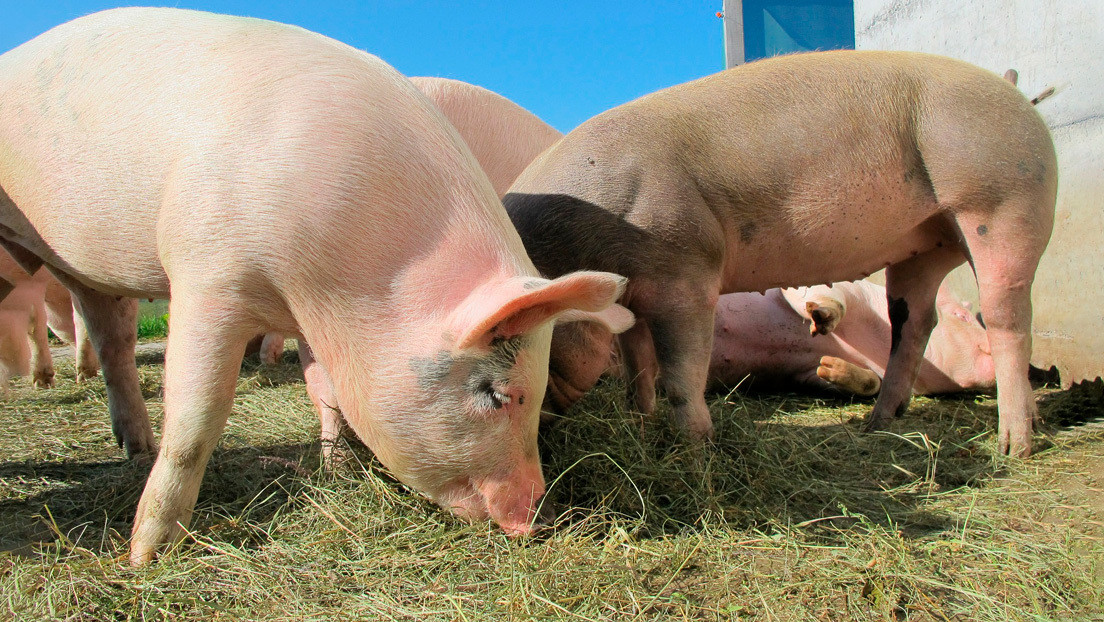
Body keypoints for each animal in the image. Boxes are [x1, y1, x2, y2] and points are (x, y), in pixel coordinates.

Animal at [506, 50, 1057, 457]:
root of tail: (1017, 96)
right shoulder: (636, 295)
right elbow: (639, 367)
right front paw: (640, 426)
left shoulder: (684, 271)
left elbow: (681, 372)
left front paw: (697, 449)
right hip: (926, 244)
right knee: (914, 323)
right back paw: (878, 424)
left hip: (1003, 201)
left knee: (1010, 317)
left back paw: (1014, 446)